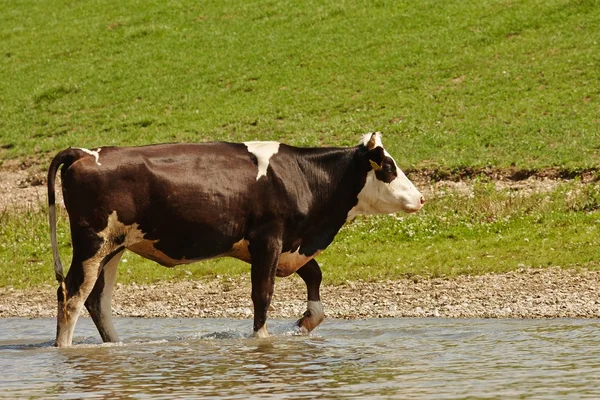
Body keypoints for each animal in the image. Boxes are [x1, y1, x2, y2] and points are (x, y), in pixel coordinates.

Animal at [48, 132, 422, 346]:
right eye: (389, 168)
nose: (420, 198)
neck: (301, 177)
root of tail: (85, 152)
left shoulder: (291, 243)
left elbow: (314, 275)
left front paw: (306, 321)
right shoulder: (268, 238)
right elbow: (262, 294)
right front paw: (261, 340)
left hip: (114, 248)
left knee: (97, 301)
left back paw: (115, 346)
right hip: (92, 245)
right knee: (71, 296)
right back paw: (64, 348)